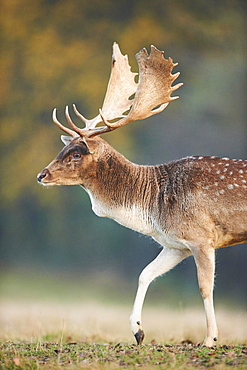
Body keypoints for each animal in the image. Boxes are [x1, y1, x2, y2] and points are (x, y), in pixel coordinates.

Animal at [37, 43, 247, 346]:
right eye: (63, 149)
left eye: (76, 154)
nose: (41, 175)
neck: (153, 209)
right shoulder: (175, 245)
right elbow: (144, 274)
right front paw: (137, 331)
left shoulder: (202, 237)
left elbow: (205, 287)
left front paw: (210, 339)